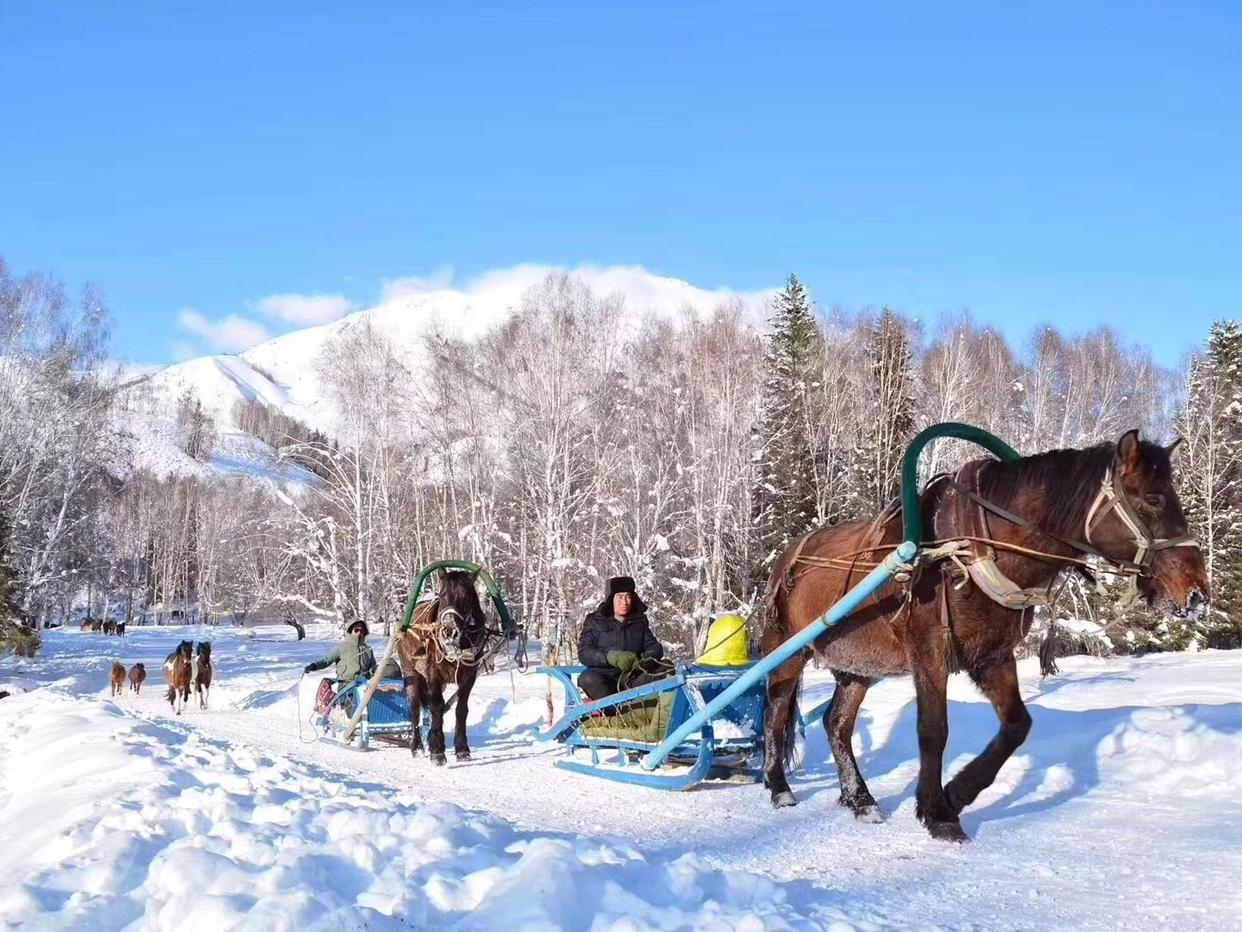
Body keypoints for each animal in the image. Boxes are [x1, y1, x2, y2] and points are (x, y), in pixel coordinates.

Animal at [399, 569, 491, 765]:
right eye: (441, 595)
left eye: (466, 596)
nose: (449, 631)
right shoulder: (433, 675)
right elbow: (436, 707)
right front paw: (437, 751)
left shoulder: (468, 676)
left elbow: (461, 709)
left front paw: (462, 749)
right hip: (411, 673)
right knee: (415, 709)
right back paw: (417, 746)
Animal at [760, 434, 1207, 845]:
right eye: (1154, 498)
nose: (1197, 593)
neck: (970, 548)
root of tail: (787, 558)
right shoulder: (930, 654)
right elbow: (933, 731)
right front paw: (937, 811)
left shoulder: (993, 656)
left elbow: (1017, 726)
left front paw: (958, 792)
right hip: (787, 651)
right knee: (775, 713)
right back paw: (779, 787)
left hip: (857, 667)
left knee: (836, 723)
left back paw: (860, 799)